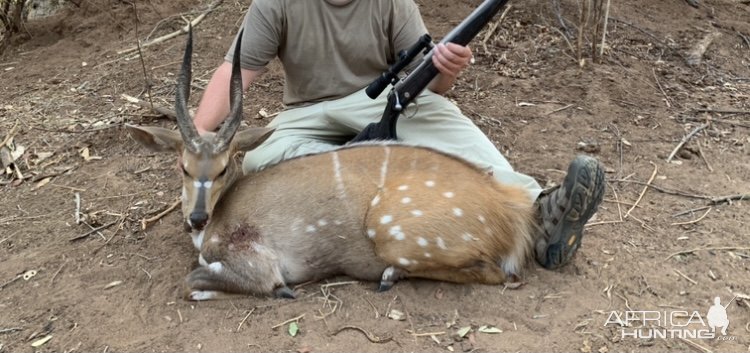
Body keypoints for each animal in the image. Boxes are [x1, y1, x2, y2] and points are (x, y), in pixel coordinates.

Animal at [126, 29, 536, 300]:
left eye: (224, 167)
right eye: (183, 166)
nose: (196, 218)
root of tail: (508, 211)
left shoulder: (259, 263)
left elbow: (196, 281)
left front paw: (282, 292)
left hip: (394, 233)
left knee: (497, 273)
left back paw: (389, 275)